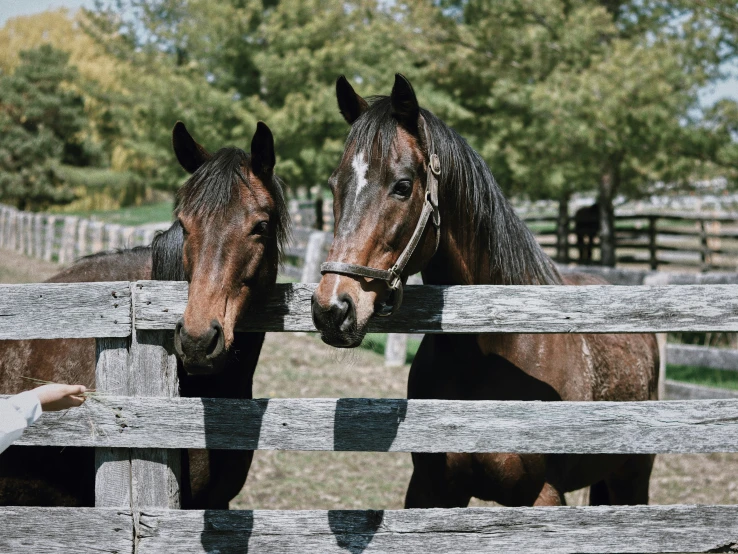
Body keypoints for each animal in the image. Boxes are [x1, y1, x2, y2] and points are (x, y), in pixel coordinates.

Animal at [310, 75, 656, 506]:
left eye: (402, 186)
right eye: (334, 184)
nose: (332, 308)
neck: (492, 349)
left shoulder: (544, 495)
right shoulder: (430, 488)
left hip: (632, 476)